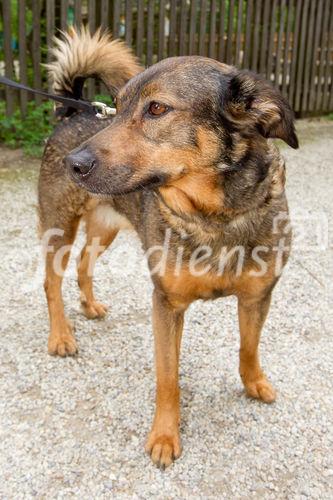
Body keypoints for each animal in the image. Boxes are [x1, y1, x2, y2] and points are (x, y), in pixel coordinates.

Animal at [39, 29, 298, 468]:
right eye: (119, 108)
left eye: (157, 108)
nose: (74, 164)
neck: (214, 217)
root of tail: (72, 112)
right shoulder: (166, 304)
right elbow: (168, 377)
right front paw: (164, 436)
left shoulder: (258, 296)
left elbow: (249, 346)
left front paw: (254, 383)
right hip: (60, 226)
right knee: (51, 281)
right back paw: (61, 335)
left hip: (106, 228)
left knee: (85, 263)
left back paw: (90, 306)